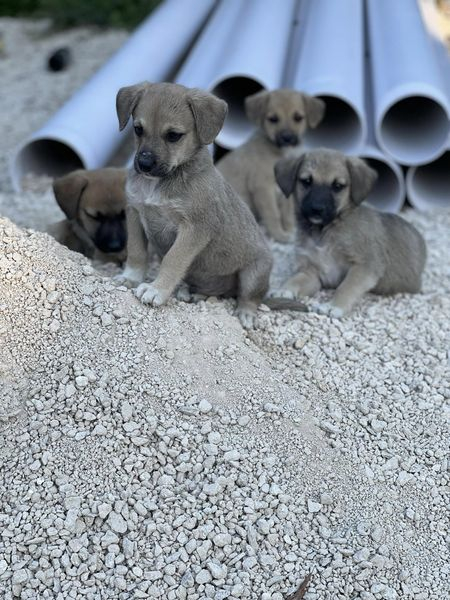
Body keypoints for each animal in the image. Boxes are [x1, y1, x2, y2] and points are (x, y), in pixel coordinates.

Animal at [114, 81, 308, 326]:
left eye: (174, 135)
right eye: (138, 129)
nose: (144, 164)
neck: (160, 183)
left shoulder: (195, 228)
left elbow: (172, 259)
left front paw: (157, 289)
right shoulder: (135, 212)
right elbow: (137, 252)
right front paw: (130, 277)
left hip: (254, 273)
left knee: (249, 297)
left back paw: (245, 313)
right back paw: (194, 293)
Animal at [217, 88, 326, 243]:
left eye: (298, 118)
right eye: (273, 119)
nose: (287, 138)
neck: (281, 153)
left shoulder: (286, 187)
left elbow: (287, 213)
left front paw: (290, 230)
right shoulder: (262, 187)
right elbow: (274, 215)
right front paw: (279, 235)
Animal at [274, 148, 426, 316]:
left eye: (337, 186)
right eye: (306, 181)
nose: (317, 209)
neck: (325, 231)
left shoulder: (364, 266)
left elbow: (346, 286)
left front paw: (334, 306)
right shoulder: (311, 272)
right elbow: (296, 279)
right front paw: (284, 290)